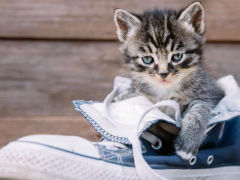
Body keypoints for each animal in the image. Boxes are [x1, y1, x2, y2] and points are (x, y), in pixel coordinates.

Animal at [113, 1, 224, 159]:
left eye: (177, 56)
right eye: (147, 59)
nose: (163, 73)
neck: (165, 92)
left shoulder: (204, 93)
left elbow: (199, 111)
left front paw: (188, 142)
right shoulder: (135, 94)